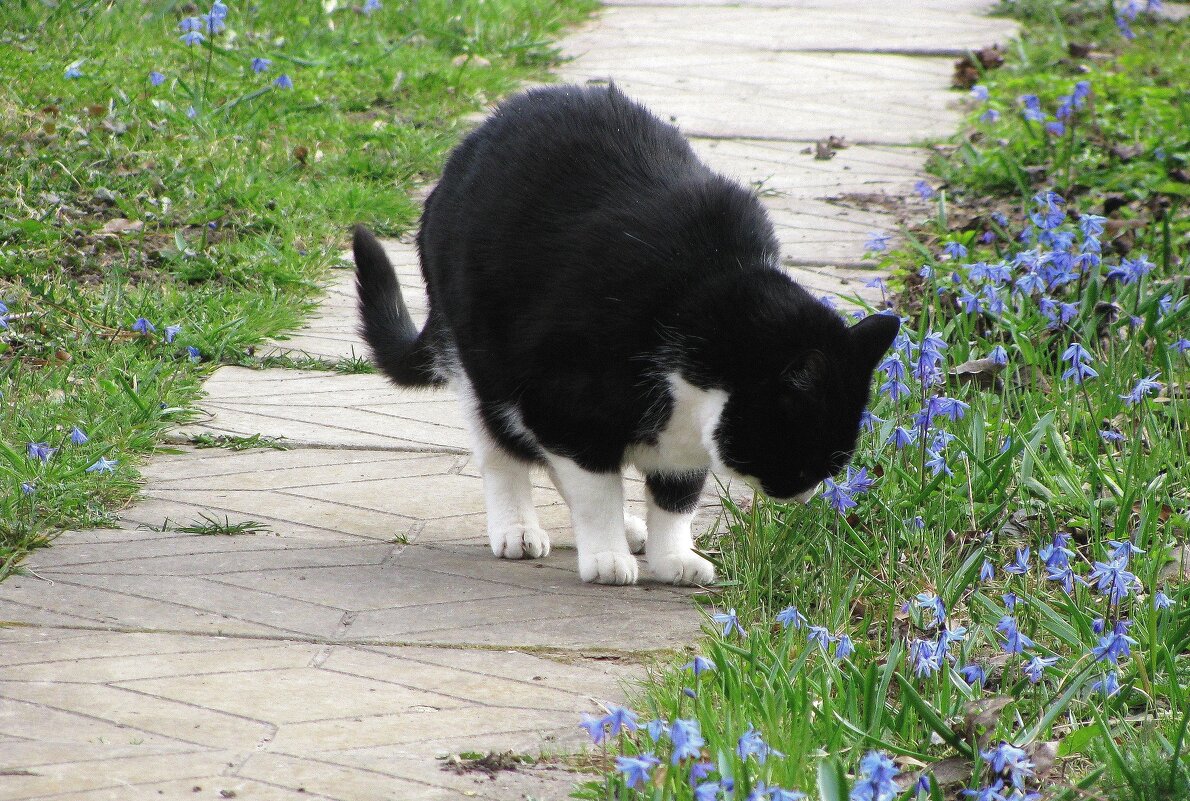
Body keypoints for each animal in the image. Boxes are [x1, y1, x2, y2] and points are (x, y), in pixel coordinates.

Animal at [349, 84, 894, 587]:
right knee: (502, 445)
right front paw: (606, 556)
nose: (806, 495)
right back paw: (518, 529)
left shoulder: (675, 433)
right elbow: (594, 488)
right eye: (804, 458)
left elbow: (677, 492)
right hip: (483, 358)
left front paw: (672, 557)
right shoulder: (561, 400)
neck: (701, 296)